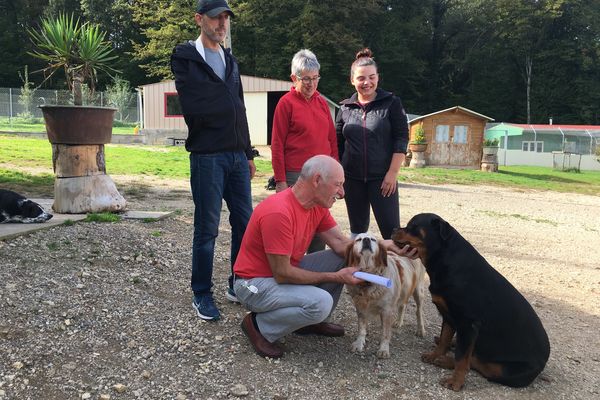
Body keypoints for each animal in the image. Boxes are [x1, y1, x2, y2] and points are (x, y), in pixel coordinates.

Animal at [342, 231, 426, 360]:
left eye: (373, 239)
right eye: (358, 239)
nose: (366, 240)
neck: (369, 277)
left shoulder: (386, 310)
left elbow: (385, 333)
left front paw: (383, 349)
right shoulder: (360, 306)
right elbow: (361, 327)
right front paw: (359, 342)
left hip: (418, 290)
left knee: (419, 311)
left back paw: (420, 329)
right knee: (403, 305)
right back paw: (399, 322)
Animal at [392, 214, 552, 392]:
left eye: (413, 226)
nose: (394, 229)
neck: (445, 259)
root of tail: (544, 361)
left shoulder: (468, 323)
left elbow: (462, 358)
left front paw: (455, 382)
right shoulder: (449, 316)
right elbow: (445, 339)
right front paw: (435, 354)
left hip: (506, 371)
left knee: (479, 362)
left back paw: (447, 360)